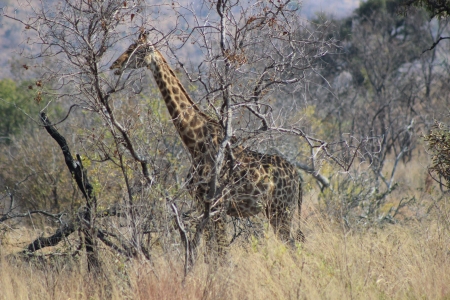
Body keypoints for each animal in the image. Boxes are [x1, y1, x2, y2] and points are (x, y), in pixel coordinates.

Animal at [110, 33, 304, 255]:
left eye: (137, 50)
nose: (115, 65)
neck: (196, 144)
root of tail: (298, 178)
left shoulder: (217, 206)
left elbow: (221, 253)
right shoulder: (203, 206)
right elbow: (211, 252)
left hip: (281, 209)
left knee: (292, 246)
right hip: (277, 210)